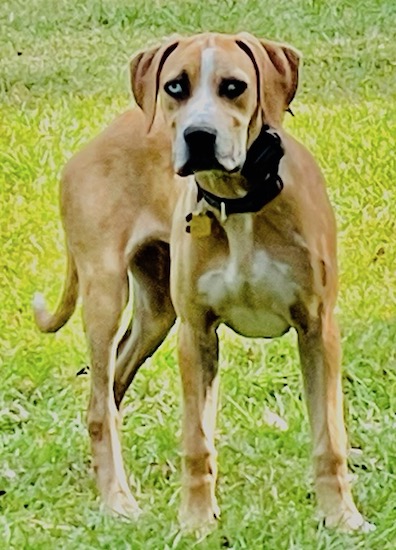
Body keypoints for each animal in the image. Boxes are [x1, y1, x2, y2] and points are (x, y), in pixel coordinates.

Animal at [34, 32, 372, 532]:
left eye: (234, 87)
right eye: (175, 86)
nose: (198, 136)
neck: (240, 202)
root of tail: (92, 145)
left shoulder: (317, 329)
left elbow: (329, 438)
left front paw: (342, 518)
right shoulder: (197, 334)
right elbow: (197, 440)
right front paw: (196, 521)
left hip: (155, 314)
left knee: (111, 390)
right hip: (106, 293)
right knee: (100, 407)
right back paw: (116, 499)